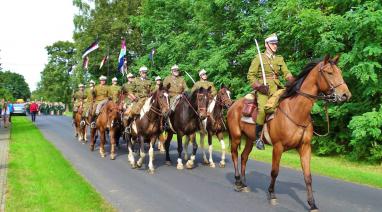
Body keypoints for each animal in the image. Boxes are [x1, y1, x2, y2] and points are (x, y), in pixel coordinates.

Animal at [227, 55, 352, 211]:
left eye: (339, 71)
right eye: (329, 73)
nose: (346, 94)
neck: (296, 111)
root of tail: (233, 105)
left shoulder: (305, 148)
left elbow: (308, 176)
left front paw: (312, 204)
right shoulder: (278, 147)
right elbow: (274, 172)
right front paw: (272, 194)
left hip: (250, 139)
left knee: (244, 157)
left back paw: (244, 183)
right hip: (236, 136)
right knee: (234, 155)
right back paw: (238, 182)